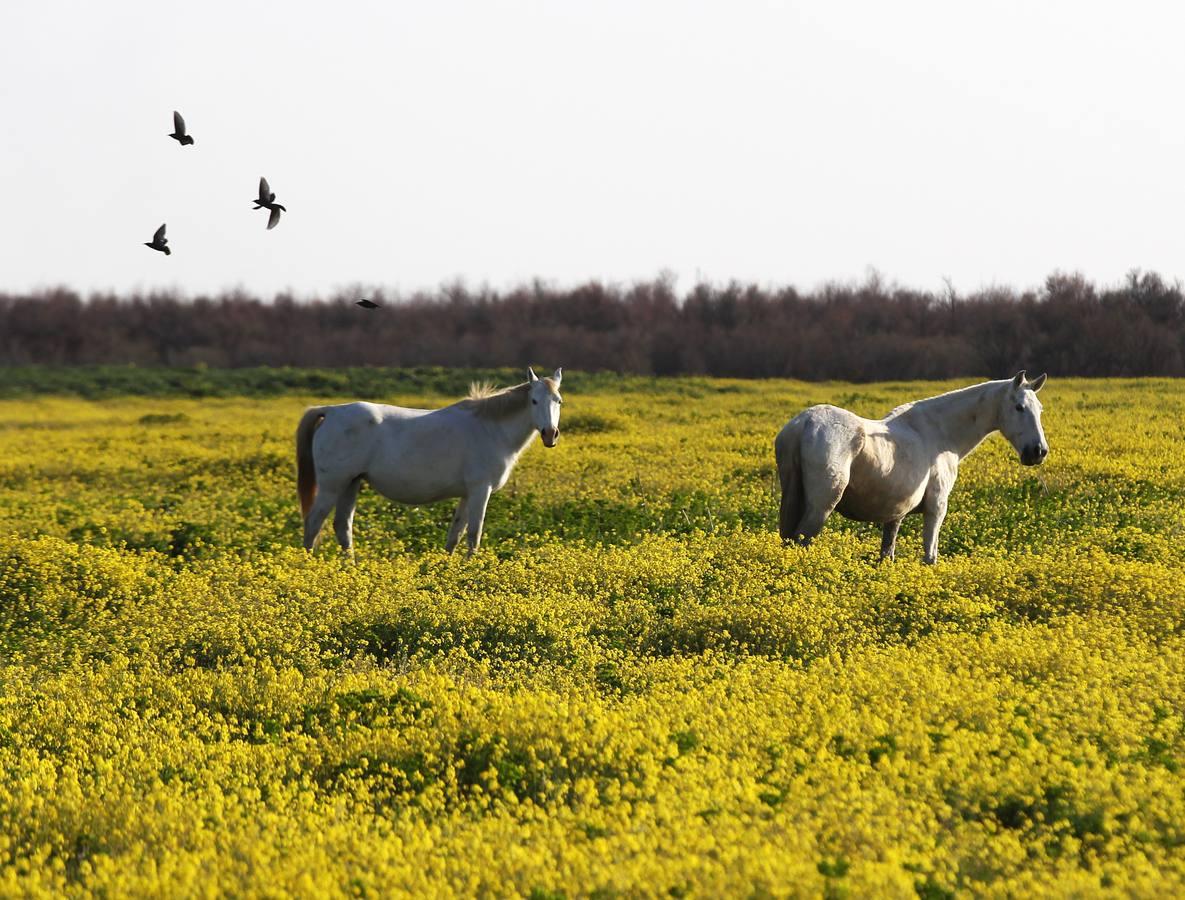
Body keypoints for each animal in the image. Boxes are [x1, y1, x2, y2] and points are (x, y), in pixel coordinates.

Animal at [290, 367, 559, 557]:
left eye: (558, 401)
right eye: (534, 401)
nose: (550, 434)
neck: (490, 427)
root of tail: (332, 411)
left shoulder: (467, 494)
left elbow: (455, 534)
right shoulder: (481, 490)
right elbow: (474, 534)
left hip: (351, 483)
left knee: (342, 526)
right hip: (332, 485)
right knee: (313, 523)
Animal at [777, 372, 1047, 564]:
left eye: (1040, 409)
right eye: (1019, 407)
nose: (1038, 451)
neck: (940, 435)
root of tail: (803, 424)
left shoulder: (895, 514)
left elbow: (887, 553)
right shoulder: (936, 507)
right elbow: (930, 556)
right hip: (821, 507)